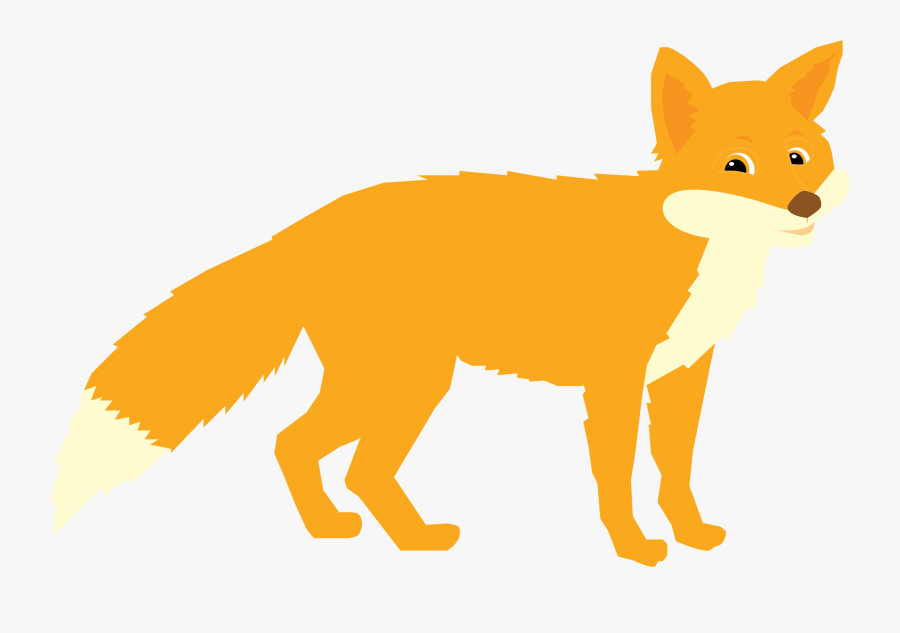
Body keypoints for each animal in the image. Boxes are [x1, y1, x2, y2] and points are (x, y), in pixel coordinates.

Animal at [52, 42, 848, 567]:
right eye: (735, 165)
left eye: (799, 157)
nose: (804, 202)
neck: (699, 248)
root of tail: (303, 226)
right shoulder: (615, 385)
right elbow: (618, 478)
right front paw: (633, 547)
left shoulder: (683, 377)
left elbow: (676, 470)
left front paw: (691, 534)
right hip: (408, 384)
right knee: (338, 460)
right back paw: (404, 539)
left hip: (393, 386)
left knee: (303, 448)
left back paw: (349, 532)